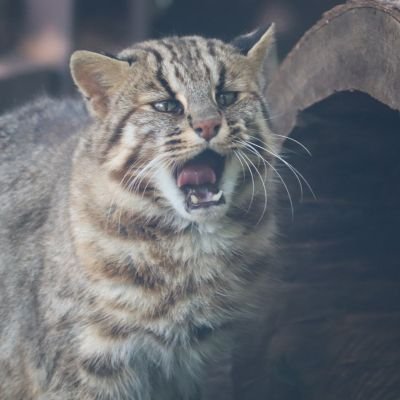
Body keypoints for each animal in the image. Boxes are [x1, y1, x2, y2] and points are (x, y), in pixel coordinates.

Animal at [0, 25, 282, 400]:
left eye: (225, 97)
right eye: (167, 106)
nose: (208, 125)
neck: (189, 249)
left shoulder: (219, 357)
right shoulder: (87, 367)